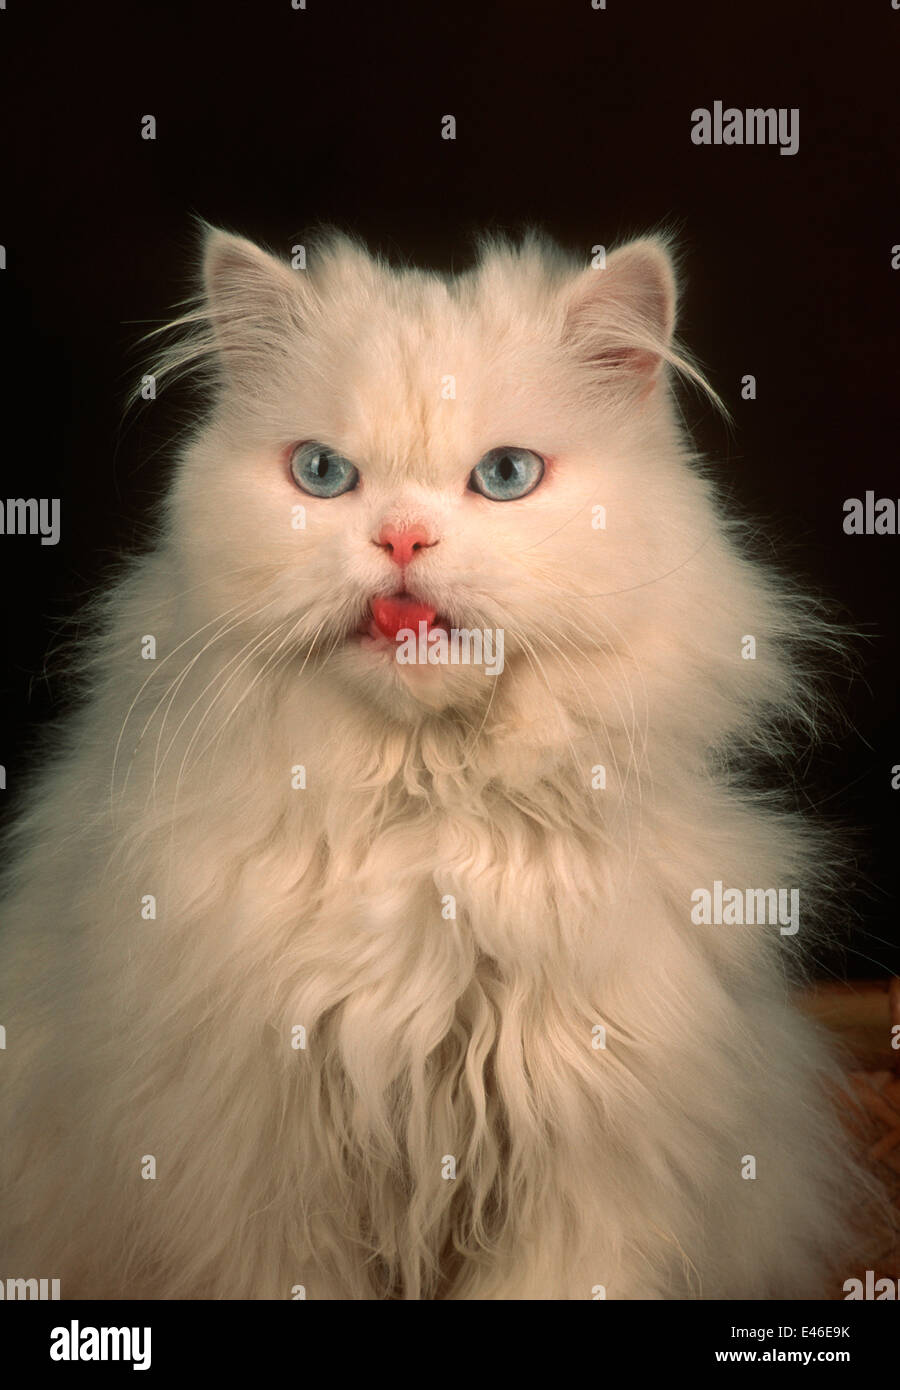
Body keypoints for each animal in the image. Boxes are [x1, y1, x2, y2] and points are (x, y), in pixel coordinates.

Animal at [0, 222, 873, 1295]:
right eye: (322, 474)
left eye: (504, 476)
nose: (402, 539)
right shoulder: (264, 1183)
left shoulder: (586, 1170)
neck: (429, 824)